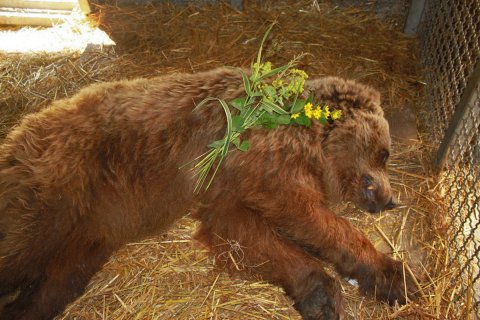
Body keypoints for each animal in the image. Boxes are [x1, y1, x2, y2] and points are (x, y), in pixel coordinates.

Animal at [0, 67, 416, 320]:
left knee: (61, 277)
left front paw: (320, 292)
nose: (389, 198)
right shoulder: (261, 161)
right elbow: (300, 211)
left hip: (95, 226)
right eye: (384, 152)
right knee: (21, 250)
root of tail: (18, 133)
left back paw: (25, 307)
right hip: (61, 184)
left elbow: (240, 230)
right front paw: (394, 275)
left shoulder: (227, 184)